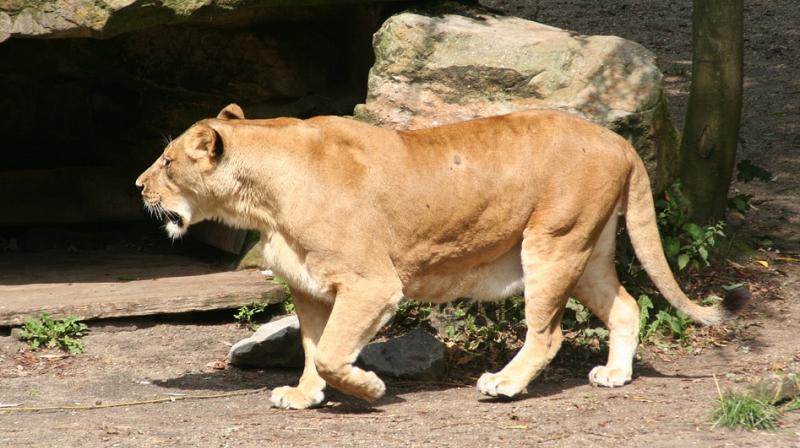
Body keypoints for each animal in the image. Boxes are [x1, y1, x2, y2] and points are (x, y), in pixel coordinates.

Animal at [138, 104, 752, 410]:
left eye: (168, 162)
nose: (139, 186)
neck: (261, 200)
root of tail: (618, 140)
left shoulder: (372, 283)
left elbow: (335, 353)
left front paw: (370, 390)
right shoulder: (311, 288)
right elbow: (314, 351)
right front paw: (304, 396)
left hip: (552, 244)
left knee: (547, 333)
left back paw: (504, 385)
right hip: (589, 251)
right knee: (626, 305)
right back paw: (616, 375)